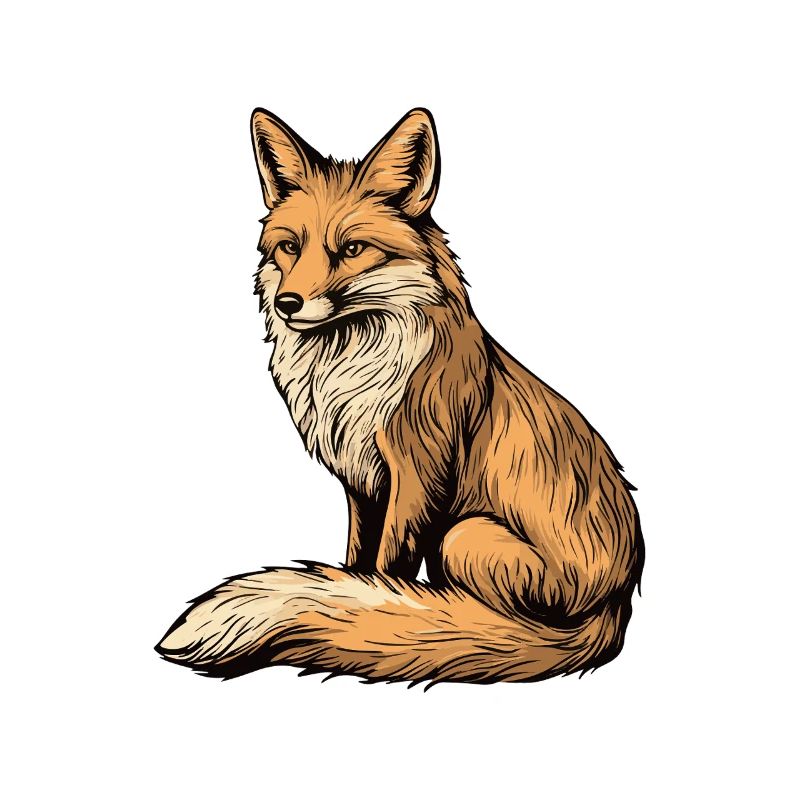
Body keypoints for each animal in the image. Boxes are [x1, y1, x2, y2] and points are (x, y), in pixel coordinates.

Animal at [156, 107, 645, 684]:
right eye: (290, 247)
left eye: (351, 249)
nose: (287, 303)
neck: (347, 372)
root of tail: (617, 603)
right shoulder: (361, 482)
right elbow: (358, 564)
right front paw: (356, 599)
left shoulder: (416, 474)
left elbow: (388, 570)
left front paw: (381, 612)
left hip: (464, 535)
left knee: (501, 620)